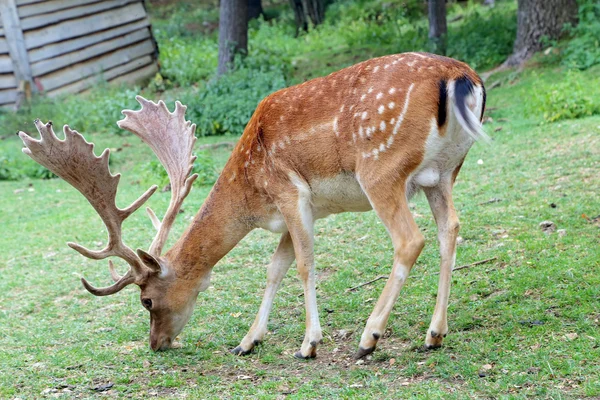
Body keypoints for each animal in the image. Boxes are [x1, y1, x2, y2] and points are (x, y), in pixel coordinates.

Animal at [18, 51, 488, 358]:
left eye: (146, 301)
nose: (156, 344)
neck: (251, 195)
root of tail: (462, 76)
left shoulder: (289, 192)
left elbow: (304, 265)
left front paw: (308, 344)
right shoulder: (300, 211)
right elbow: (274, 268)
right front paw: (248, 341)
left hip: (381, 169)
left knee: (410, 240)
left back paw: (369, 338)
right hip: (444, 172)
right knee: (451, 228)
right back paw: (434, 334)